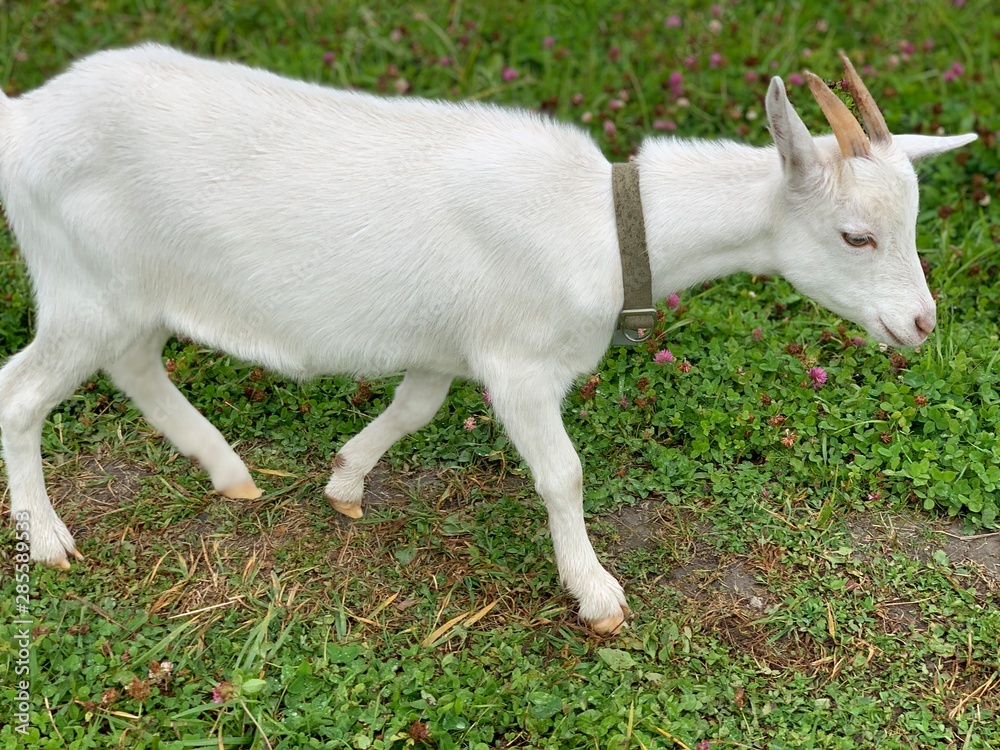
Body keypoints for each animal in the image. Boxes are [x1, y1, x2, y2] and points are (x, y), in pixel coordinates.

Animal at [0, 45, 976, 633]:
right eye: (857, 235)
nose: (920, 324)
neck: (605, 223)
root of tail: (23, 117)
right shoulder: (519, 366)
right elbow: (564, 474)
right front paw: (597, 595)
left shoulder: (445, 348)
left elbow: (413, 409)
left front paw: (345, 483)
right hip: (85, 286)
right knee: (24, 391)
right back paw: (49, 541)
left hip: (124, 293)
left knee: (134, 365)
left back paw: (230, 473)